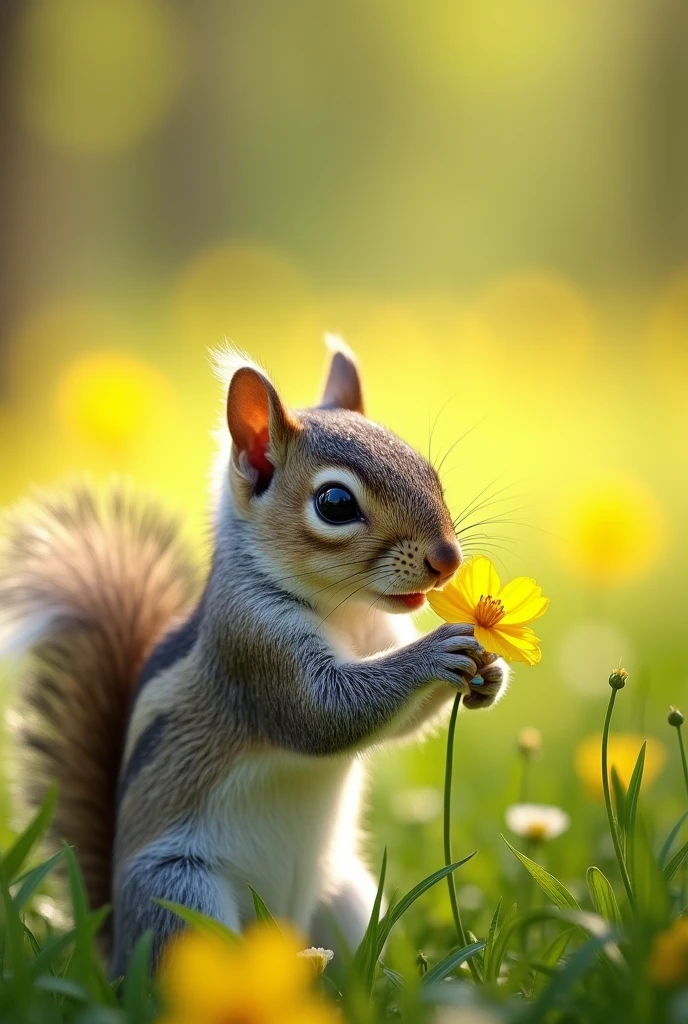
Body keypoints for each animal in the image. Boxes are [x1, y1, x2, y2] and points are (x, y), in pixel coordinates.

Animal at [0, 339, 505, 970]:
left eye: (428, 471)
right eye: (334, 503)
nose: (448, 559)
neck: (343, 612)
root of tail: (117, 957)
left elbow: (397, 721)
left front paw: (491, 673)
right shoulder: (250, 644)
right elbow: (324, 712)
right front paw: (437, 651)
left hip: (345, 897)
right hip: (182, 899)